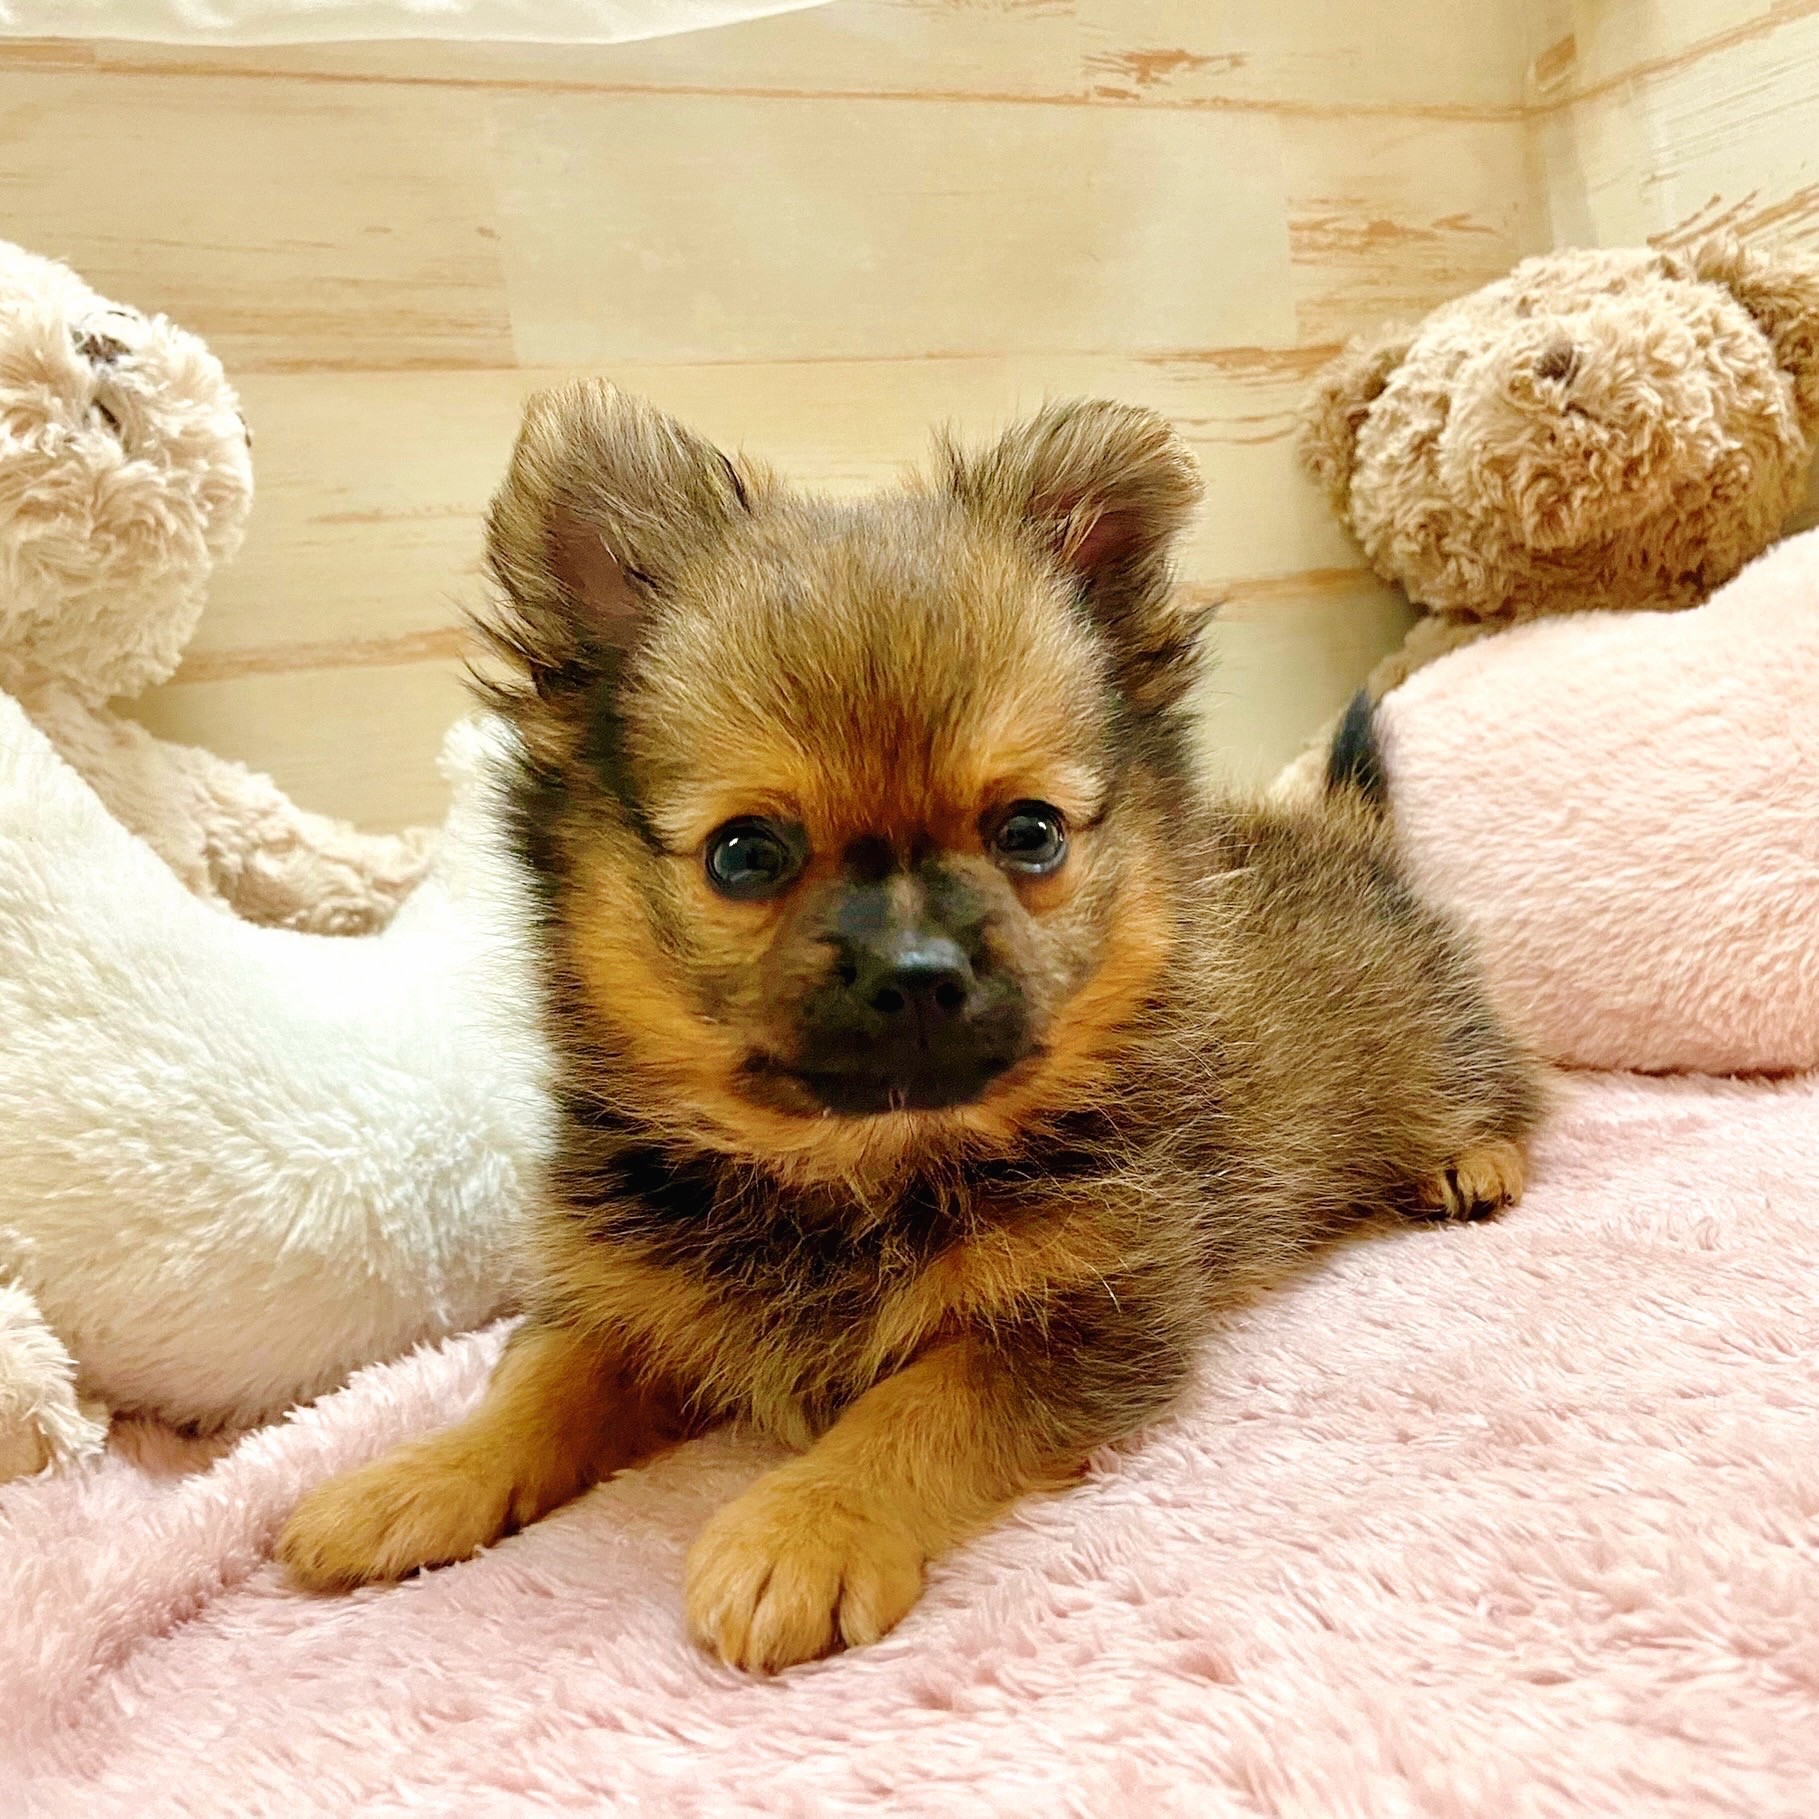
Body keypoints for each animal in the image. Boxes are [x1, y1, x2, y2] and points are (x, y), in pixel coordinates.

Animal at [277, 384, 1541, 1672]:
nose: (919, 971)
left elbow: (914, 1406)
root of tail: (1343, 832)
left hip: (1435, 1044)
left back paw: (1467, 1160)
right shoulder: (629, 1296)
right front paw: (413, 1479)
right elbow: (538, 1384)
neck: (853, 1166)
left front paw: (801, 1527)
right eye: (745, 854)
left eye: (1029, 831)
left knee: (1511, 1084)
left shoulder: (1079, 1312)